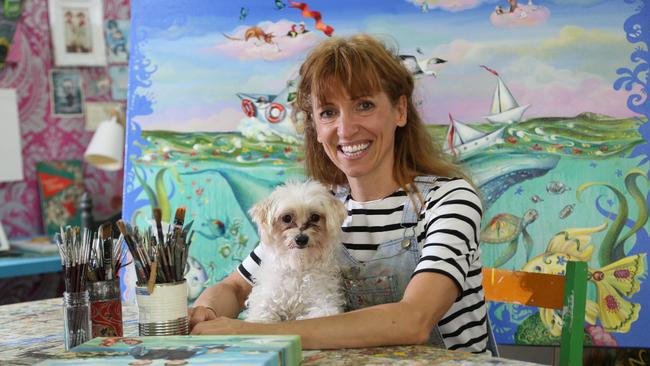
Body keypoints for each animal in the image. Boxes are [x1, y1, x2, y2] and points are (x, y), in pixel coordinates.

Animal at [243, 180, 344, 324]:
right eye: (286, 218)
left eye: (315, 217)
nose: (301, 239)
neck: (298, 264)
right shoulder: (265, 300)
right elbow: (260, 316)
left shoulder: (324, 303)